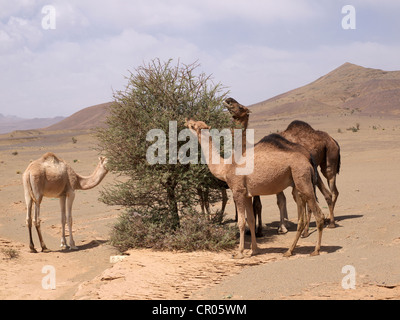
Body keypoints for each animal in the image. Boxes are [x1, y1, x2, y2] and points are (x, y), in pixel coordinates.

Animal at [184, 119, 324, 258]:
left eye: (193, 125)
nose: (186, 121)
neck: (225, 167)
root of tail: (308, 161)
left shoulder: (238, 191)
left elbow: (241, 222)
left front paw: (239, 252)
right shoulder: (247, 194)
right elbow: (250, 220)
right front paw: (254, 250)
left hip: (302, 178)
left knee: (319, 214)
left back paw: (315, 250)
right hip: (296, 184)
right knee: (301, 217)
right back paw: (289, 251)